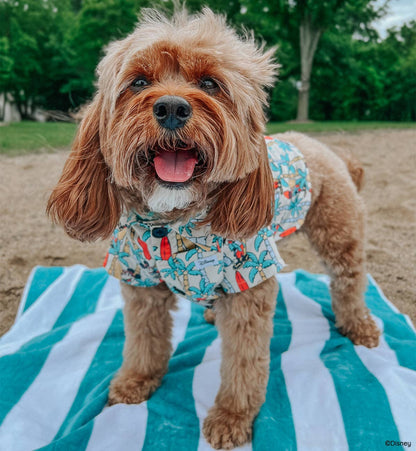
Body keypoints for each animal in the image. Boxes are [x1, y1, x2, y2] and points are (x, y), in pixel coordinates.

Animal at [46, 7, 380, 451]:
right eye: (139, 82)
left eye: (209, 83)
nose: (171, 107)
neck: (174, 222)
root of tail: (327, 148)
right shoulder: (140, 282)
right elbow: (143, 340)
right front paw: (136, 381)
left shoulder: (249, 285)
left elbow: (244, 362)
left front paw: (231, 416)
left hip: (338, 233)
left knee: (349, 281)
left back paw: (360, 325)